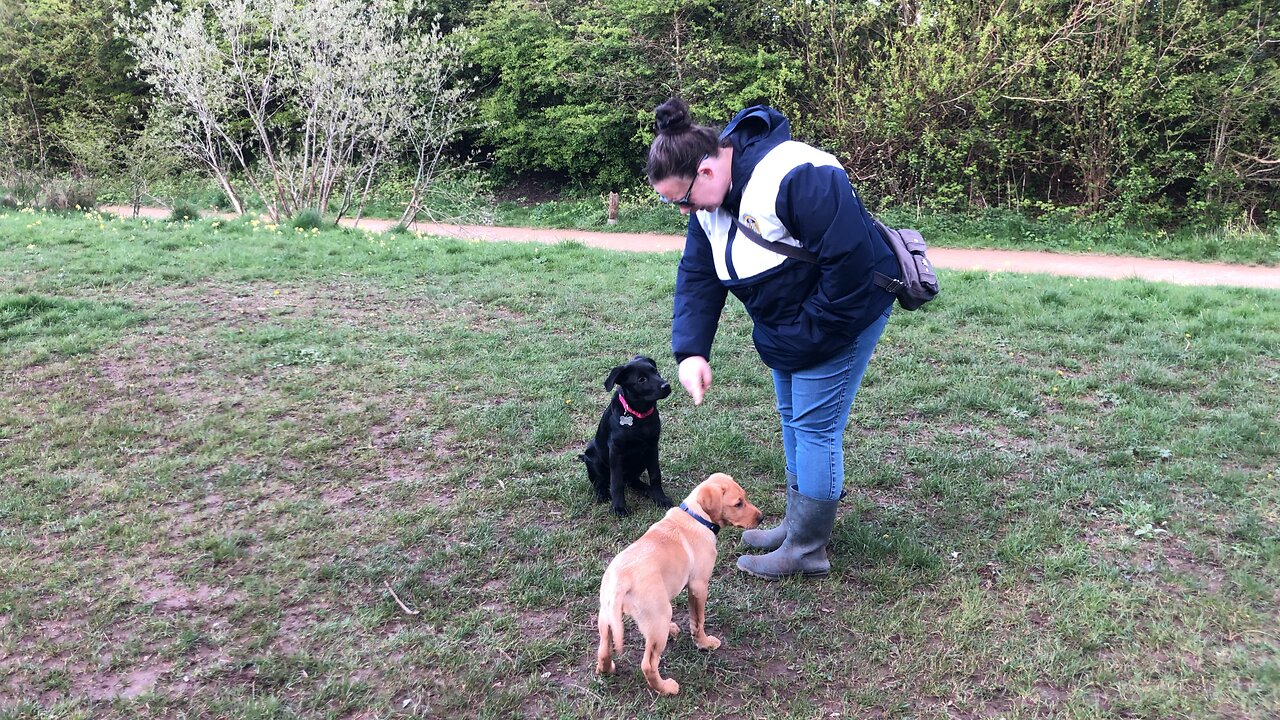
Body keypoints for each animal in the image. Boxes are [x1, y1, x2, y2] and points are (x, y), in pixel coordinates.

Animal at [581, 353, 675, 512]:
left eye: (655, 372)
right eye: (641, 379)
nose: (666, 386)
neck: (639, 415)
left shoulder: (652, 447)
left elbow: (655, 475)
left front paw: (660, 498)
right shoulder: (616, 451)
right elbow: (616, 482)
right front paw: (619, 507)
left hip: (641, 461)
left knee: (632, 481)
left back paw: (647, 489)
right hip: (593, 458)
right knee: (600, 482)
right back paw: (602, 494)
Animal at [591, 468, 757, 691]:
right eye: (738, 503)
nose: (761, 518)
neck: (696, 517)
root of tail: (621, 581)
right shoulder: (699, 586)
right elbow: (698, 621)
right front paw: (704, 643)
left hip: (607, 618)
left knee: (603, 651)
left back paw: (608, 670)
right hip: (658, 615)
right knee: (648, 664)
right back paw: (666, 688)